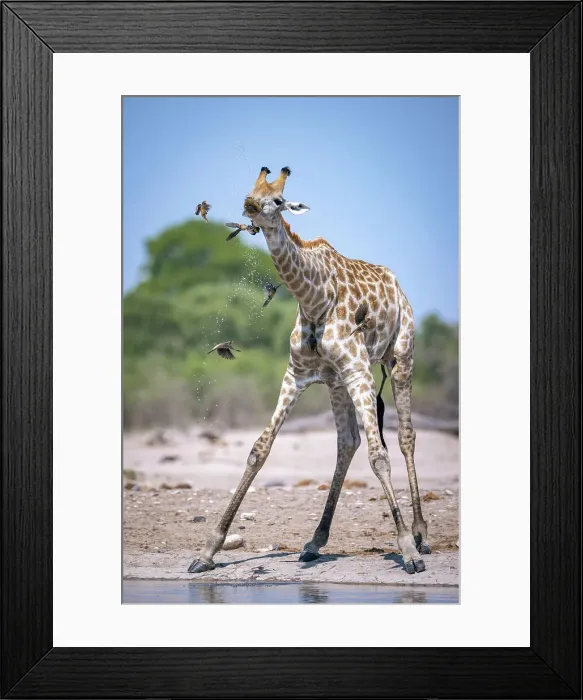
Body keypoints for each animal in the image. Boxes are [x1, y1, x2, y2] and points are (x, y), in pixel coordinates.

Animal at [188, 166, 430, 575]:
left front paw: (408, 552)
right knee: (347, 442)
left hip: (400, 359)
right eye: (251, 190)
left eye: (279, 200)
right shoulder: (297, 375)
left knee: (405, 436)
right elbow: (259, 449)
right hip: (337, 382)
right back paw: (315, 541)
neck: (315, 298)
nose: (250, 206)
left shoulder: (359, 370)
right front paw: (207, 551)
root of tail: (399, 287)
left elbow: (379, 456)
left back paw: (420, 535)